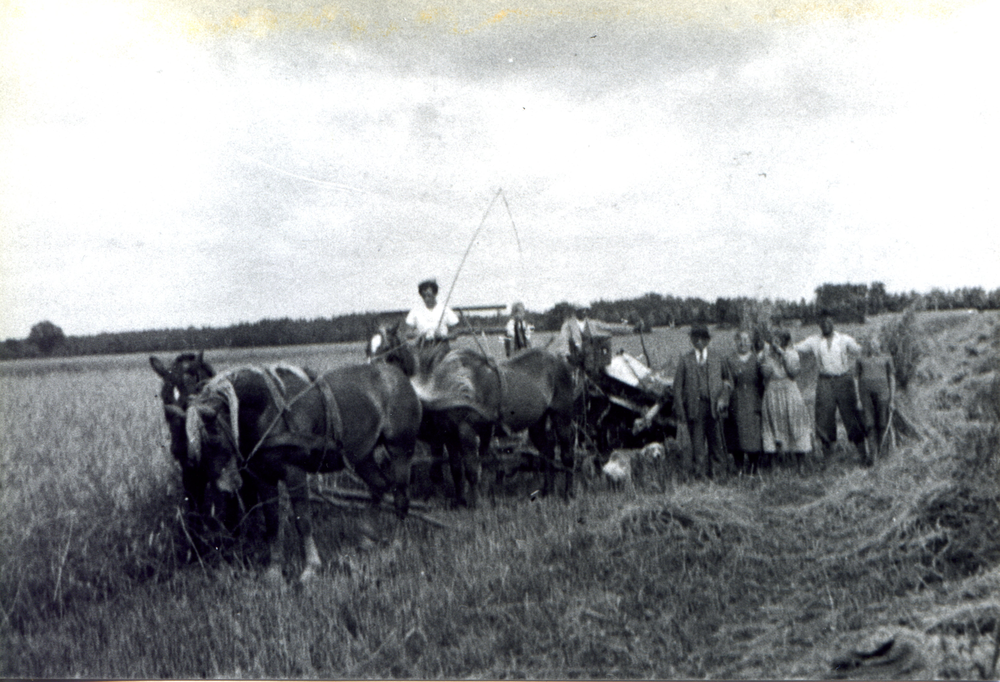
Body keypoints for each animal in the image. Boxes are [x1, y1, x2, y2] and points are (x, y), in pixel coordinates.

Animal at [150, 356, 420, 580]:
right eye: (165, 398)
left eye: (214, 435)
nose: (228, 487)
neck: (266, 408)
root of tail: (397, 375)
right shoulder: (263, 478)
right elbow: (272, 523)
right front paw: (274, 570)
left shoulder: (294, 472)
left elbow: (303, 520)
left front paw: (311, 568)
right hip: (361, 456)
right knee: (379, 486)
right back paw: (366, 538)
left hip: (400, 451)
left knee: (400, 495)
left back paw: (397, 542)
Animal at [368, 324, 576, 504]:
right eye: (368, 351)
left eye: (389, 353)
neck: (447, 386)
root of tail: (560, 359)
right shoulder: (449, 435)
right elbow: (456, 468)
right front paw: (460, 501)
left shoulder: (467, 431)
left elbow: (471, 469)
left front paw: (475, 503)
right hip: (537, 422)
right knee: (547, 452)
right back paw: (547, 491)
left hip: (562, 416)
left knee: (566, 454)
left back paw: (568, 494)